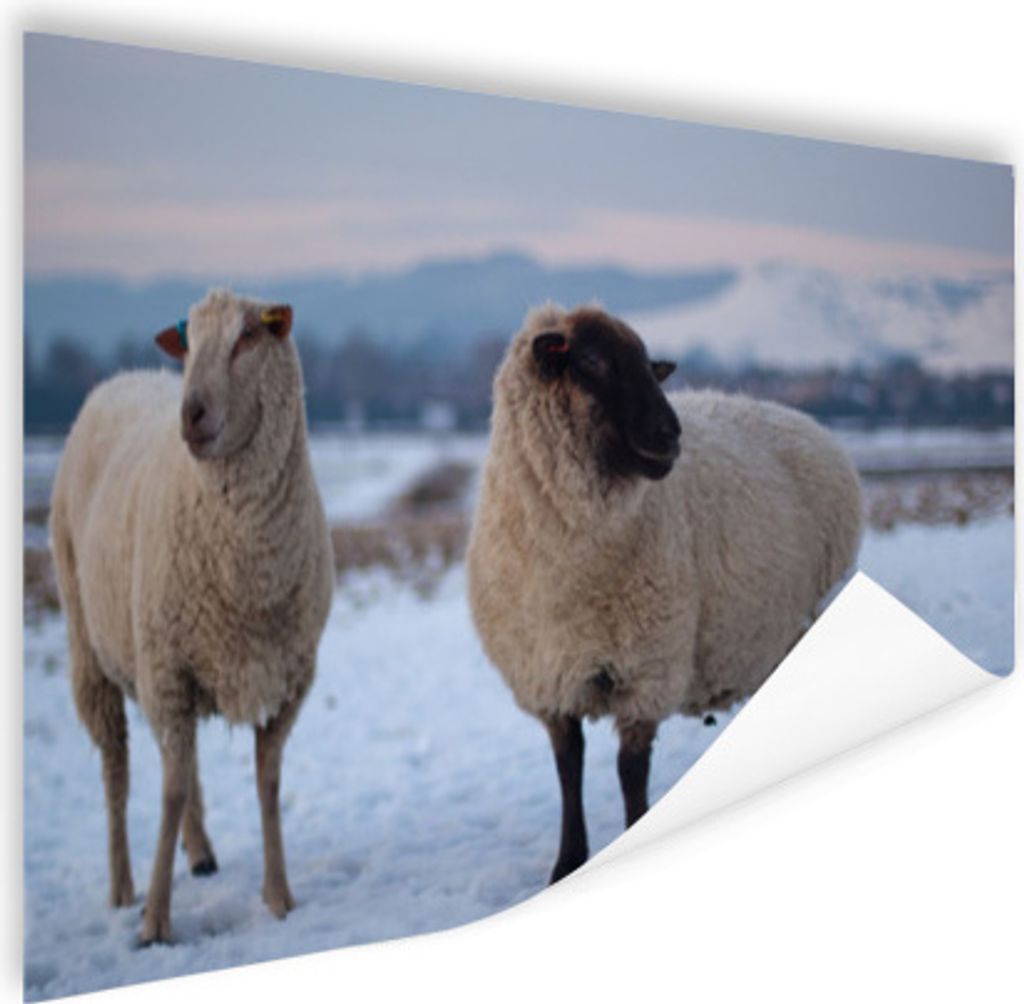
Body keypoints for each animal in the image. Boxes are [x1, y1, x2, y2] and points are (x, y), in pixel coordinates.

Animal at [49, 289, 335, 944]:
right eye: (189, 344)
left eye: (248, 338)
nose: (192, 416)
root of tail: (122, 377)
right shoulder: (167, 670)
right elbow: (171, 791)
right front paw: (155, 922)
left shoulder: (286, 676)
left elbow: (267, 783)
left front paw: (279, 898)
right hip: (93, 645)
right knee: (120, 770)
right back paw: (123, 886)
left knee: (182, 760)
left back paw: (201, 854)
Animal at [467, 303, 863, 883]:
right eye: (592, 361)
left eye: (650, 366)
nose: (671, 433)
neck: (573, 567)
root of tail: (804, 420)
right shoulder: (550, 675)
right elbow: (569, 767)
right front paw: (567, 863)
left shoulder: (646, 668)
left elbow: (630, 771)